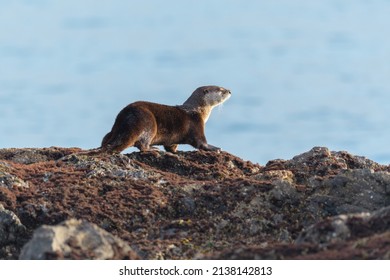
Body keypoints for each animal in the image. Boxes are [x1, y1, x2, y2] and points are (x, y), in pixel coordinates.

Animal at [99, 86, 232, 154]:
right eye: (221, 89)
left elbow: (170, 145)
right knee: (142, 144)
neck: (197, 111)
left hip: (113, 129)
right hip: (148, 123)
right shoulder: (196, 124)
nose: (230, 91)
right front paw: (215, 148)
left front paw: (174, 151)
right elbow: (200, 143)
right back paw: (153, 149)